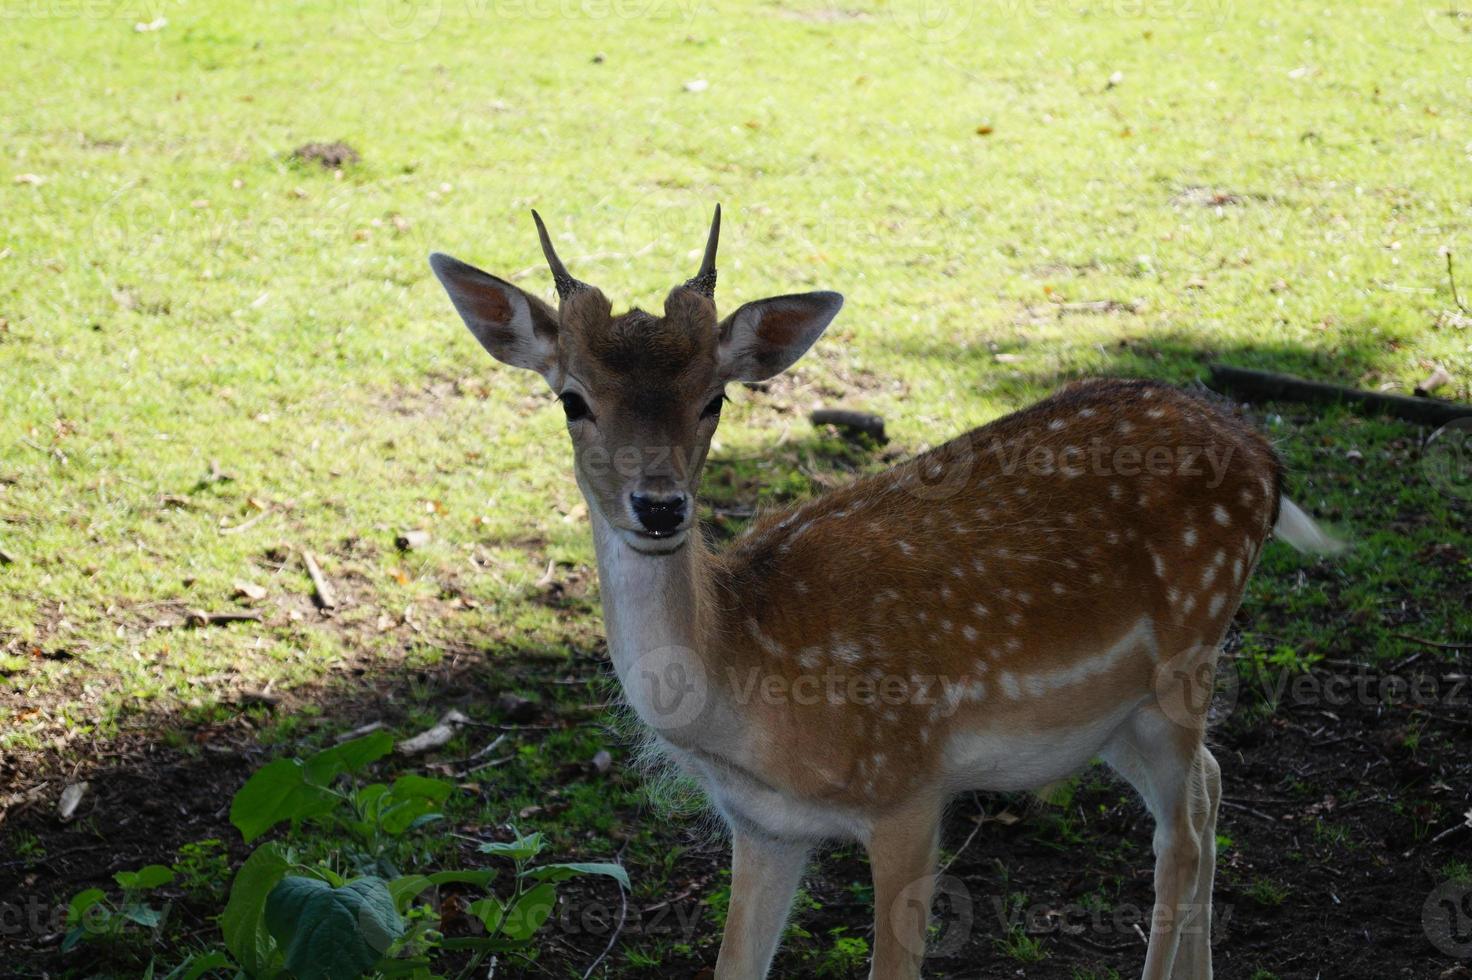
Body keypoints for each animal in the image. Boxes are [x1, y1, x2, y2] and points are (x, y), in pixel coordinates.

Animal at [429, 207, 1348, 977]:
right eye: (572, 399)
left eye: (715, 398)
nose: (659, 507)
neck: (746, 699)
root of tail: (1263, 455)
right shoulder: (762, 827)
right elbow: (734, 964)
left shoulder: (910, 786)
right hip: (1112, 712)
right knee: (1210, 785)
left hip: (1192, 643)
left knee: (1182, 836)